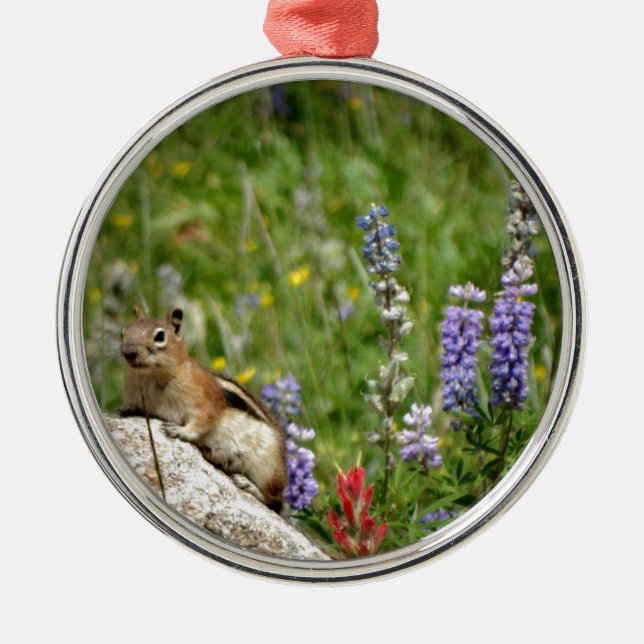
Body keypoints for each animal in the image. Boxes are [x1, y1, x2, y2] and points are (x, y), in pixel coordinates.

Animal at [119, 306, 287, 511]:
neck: (148, 377)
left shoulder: (207, 402)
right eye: (123, 332)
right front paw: (127, 409)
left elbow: (202, 422)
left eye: (159, 336)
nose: (129, 352)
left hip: (267, 470)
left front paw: (180, 431)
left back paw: (249, 485)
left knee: (272, 498)